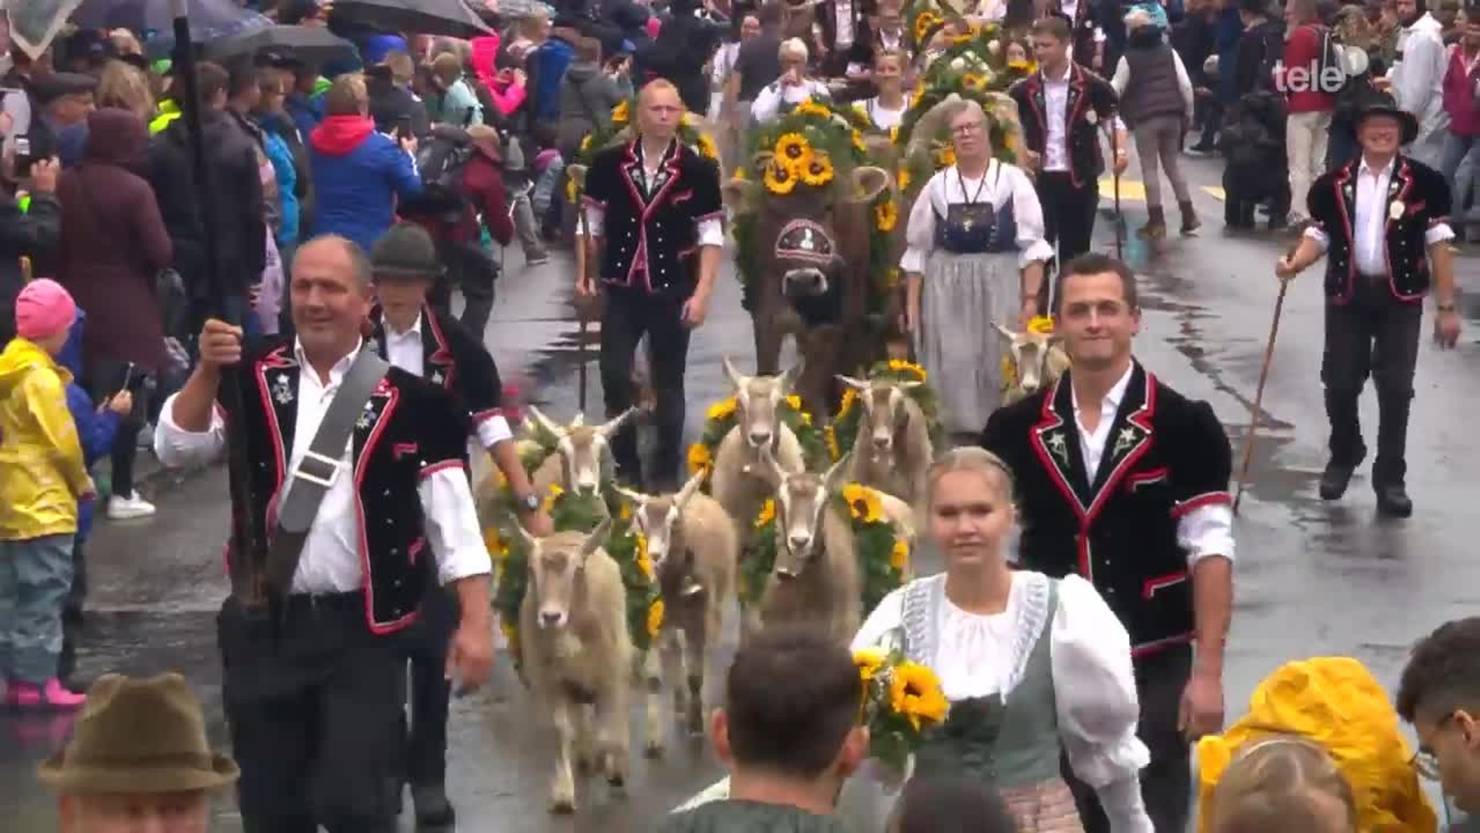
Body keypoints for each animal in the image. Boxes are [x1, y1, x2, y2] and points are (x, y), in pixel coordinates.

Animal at [518, 520, 633, 816]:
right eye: (530, 570)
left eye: (578, 568)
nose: (550, 616)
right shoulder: (553, 682)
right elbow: (561, 730)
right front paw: (563, 793)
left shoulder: (608, 678)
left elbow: (608, 736)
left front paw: (610, 766)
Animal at [609, 476, 737, 757]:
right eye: (640, 520)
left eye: (673, 521)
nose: (654, 556)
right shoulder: (652, 623)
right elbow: (655, 680)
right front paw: (653, 741)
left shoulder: (698, 621)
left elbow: (695, 676)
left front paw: (696, 725)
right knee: (676, 651)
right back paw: (679, 704)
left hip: (715, 604)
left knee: (709, 649)